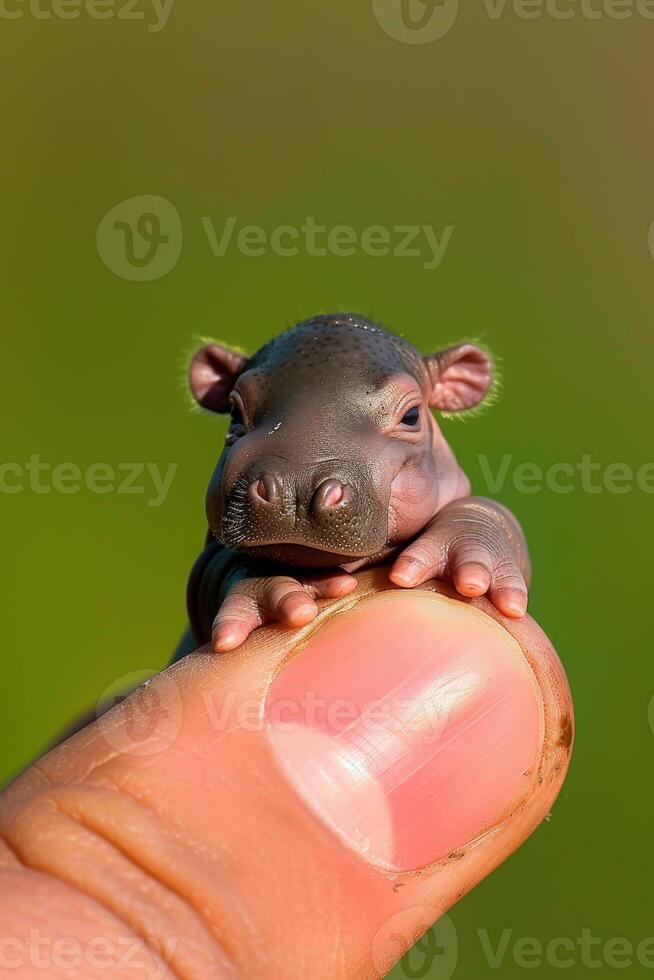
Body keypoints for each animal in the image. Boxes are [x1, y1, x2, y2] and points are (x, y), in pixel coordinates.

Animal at [186, 314, 532, 652]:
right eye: (234, 412)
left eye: (412, 415)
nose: (296, 487)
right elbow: (213, 567)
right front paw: (275, 590)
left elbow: (494, 513)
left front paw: (471, 564)